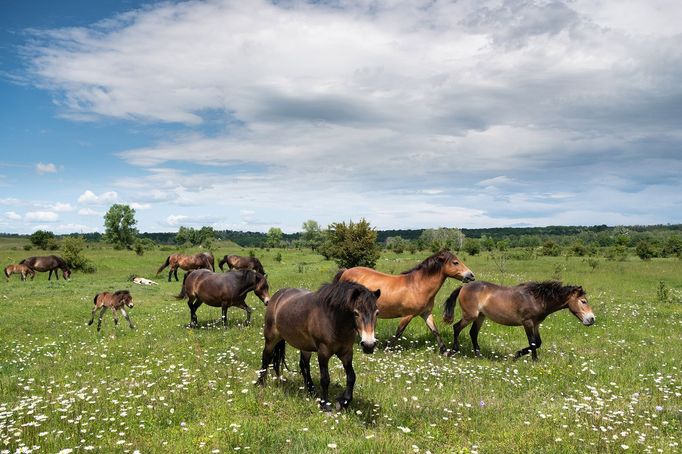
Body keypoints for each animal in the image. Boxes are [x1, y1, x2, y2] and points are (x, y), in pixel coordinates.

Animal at [258, 280, 380, 412]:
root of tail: (277, 296)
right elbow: (325, 379)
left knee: (304, 365)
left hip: (304, 345)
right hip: (271, 339)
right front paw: (325, 404)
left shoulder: (346, 352)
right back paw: (260, 383)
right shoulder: (323, 352)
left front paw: (343, 402)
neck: (333, 320)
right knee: (266, 357)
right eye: (356, 313)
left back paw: (311, 391)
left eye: (377, 313)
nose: (369, 345)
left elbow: (351, 377)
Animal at [334, 250, 472, 356]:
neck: (418, 285)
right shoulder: (407, 315)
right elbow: (398, 333)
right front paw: (386, 348)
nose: (471, 275)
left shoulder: (426, 314)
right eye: (455, 262)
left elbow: (435, 331)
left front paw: (445, 352)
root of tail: (345, 271)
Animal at [440, 280, 596, 362]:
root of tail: (463, 286)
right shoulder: (527, 323)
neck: (537, 299)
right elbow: (532, 342)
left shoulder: (536, 324)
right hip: (470, 315)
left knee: (473, 333)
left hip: (480, 316)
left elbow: (538, 342)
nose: (592, 319)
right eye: (583, 301)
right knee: (456, 327)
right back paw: (452, 351)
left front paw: (517, 355)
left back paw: (479, 355)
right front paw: (532, 360)